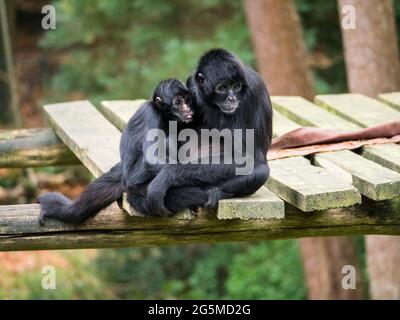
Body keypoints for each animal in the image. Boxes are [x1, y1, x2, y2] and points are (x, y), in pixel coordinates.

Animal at [38, 78, 206, 225]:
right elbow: (151, 161)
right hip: (134, 181)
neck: (164, 117)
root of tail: (126, 179)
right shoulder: (149, 114)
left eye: (187, 100)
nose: (187, 108)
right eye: (178, 102)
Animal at [145, 48, 274, 215]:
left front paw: (167, 176)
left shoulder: (253, 91)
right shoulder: (192, 83)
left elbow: (247, 158)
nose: (232, 99)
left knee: (260, 171)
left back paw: (215, 192)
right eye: (223, 88)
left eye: (236, 86)